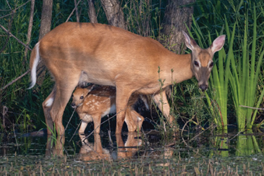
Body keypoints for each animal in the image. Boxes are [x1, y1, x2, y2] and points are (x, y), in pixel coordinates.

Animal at [28, 21, 226, 135]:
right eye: (196, 62)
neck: (161, 61)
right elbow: (119, 122)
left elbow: (171, 119)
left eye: (211, 64)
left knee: (45, 104)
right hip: (67, 74)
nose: (203, 86)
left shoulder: (157, 90)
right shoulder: (123, 82)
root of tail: (39, 43)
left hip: (58, 77)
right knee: (56, 111)